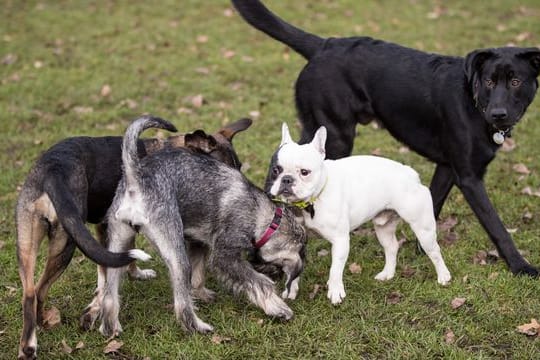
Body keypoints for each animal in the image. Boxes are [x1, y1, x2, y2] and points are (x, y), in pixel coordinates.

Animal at [15, 116, 252, 358]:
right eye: (220, 172)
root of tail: (53, 170)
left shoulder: (107, 229)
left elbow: (111, 267)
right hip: (67, 242)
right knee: (40, 289)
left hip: (28, 242)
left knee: (31, 292)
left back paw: (32, 340)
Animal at [89, 116, 308, 338]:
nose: (278, 274)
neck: (266, 218)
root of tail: (136, 179)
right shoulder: (224, 256)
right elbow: (258, 282)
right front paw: (277, 307)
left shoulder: (198, 241)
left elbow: (198, 274)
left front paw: (201, 293)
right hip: (175, 253)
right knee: (181, 302)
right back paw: (198, 326)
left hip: (118, 242)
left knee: (110, 292)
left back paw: (111, 327)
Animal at [234, 0, 540, 276]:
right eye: (489, 81)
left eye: (515, 81)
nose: (498, 114)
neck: (474, 102)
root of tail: (323, 45)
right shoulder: (469, 178)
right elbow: (497, 227)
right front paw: (520, 266)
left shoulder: (447, 167)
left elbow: (433, 204)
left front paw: (422, 247)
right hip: (335, 134)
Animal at [266, 124, 452, 304]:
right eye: (276, 170)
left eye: (305, 172)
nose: (287, 179)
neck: (309, 203)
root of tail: (411, 173)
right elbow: (294, 269)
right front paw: (291, 290)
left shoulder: (340, 240)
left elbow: (335, 269)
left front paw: (335, 291)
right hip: (383, 227)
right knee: (391, 247)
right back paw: (387, 274)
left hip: (423, 228)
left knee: (434, 251)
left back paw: (444, 276)